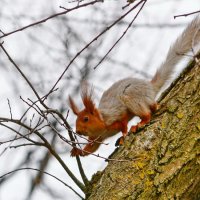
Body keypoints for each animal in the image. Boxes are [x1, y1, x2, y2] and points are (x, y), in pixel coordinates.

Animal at [68, 15, 200, 156]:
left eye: (86, 119)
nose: (78, 131)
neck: (101, 121)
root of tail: (150, 87)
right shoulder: (97, 138)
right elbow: (91, 149)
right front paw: (77, 151)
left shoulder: (116, 117)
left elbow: (123, 125)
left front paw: (124, 136)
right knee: (153, 107)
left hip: (131, 97)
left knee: (147, 113)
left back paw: (140, 123)